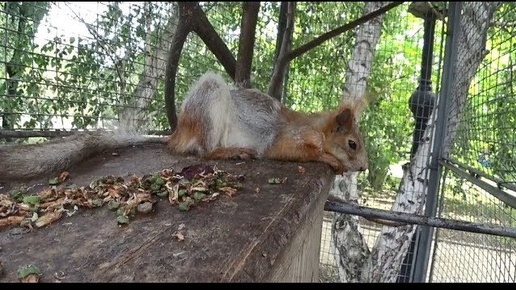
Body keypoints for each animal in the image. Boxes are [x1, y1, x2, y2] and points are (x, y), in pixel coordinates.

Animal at [168, 71, 366, 174]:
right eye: (352, 144)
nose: (363, 168)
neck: (318, 128)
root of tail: (177, 134)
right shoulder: (288, 138)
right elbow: (304, 152)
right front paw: (330, 158)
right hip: (209, 105)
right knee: (206, 151)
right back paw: (233, 152)